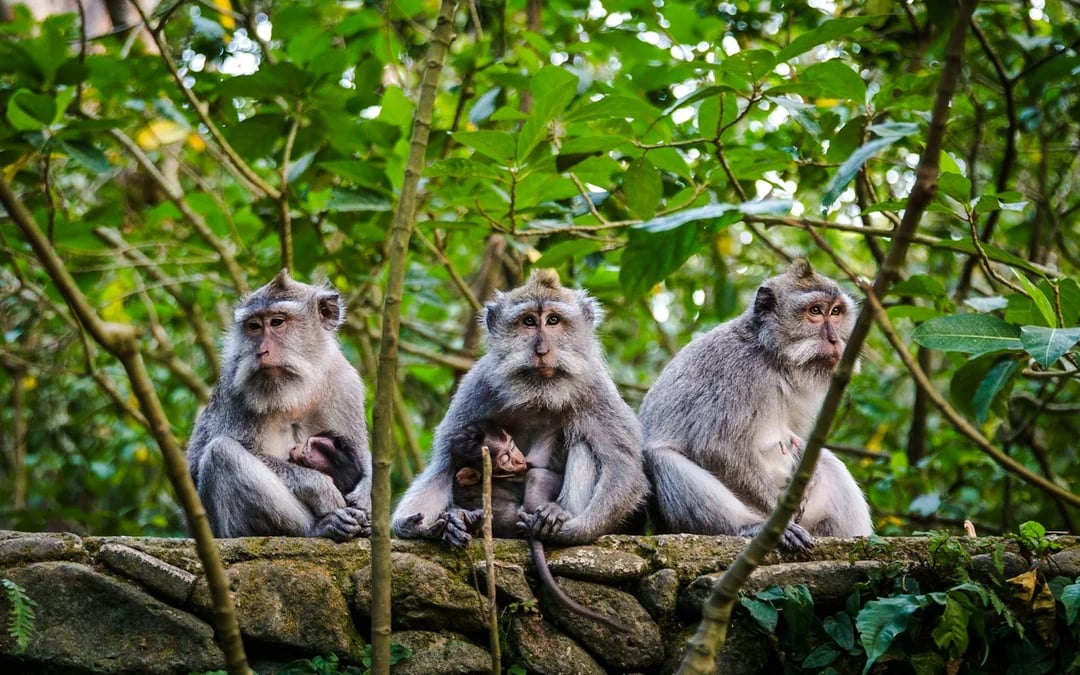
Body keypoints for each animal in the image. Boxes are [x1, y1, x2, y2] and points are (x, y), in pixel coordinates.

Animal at [186, 270, 372, 541]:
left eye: (277, 322)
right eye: (254, 326)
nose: (261, 351)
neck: (297, 391)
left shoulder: (346, 384)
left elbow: (359, 453)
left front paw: (366, 494)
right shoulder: (234, 388)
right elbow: (200, 462)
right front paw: (319, 487)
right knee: (221, 452)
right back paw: (317, 528)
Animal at [391, 269, 648, 550]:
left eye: (553, 320)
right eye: (529, 321)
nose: (542, 350)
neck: (539, 393)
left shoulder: (595, 388)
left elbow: (623, 465)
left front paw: (574, 530)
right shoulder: (479, 386)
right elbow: (445, 464)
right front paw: (414, 526)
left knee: (583, 443)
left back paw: (558, 515)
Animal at [638, 259, 872, 551]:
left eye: (837, 311)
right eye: (815, 311)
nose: (835, 340)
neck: (772, 357)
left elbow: (803, 444)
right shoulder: (736, 372)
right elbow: (716, 447)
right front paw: (776, 518)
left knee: (830, 463)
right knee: (661, 459)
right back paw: (752, 528)